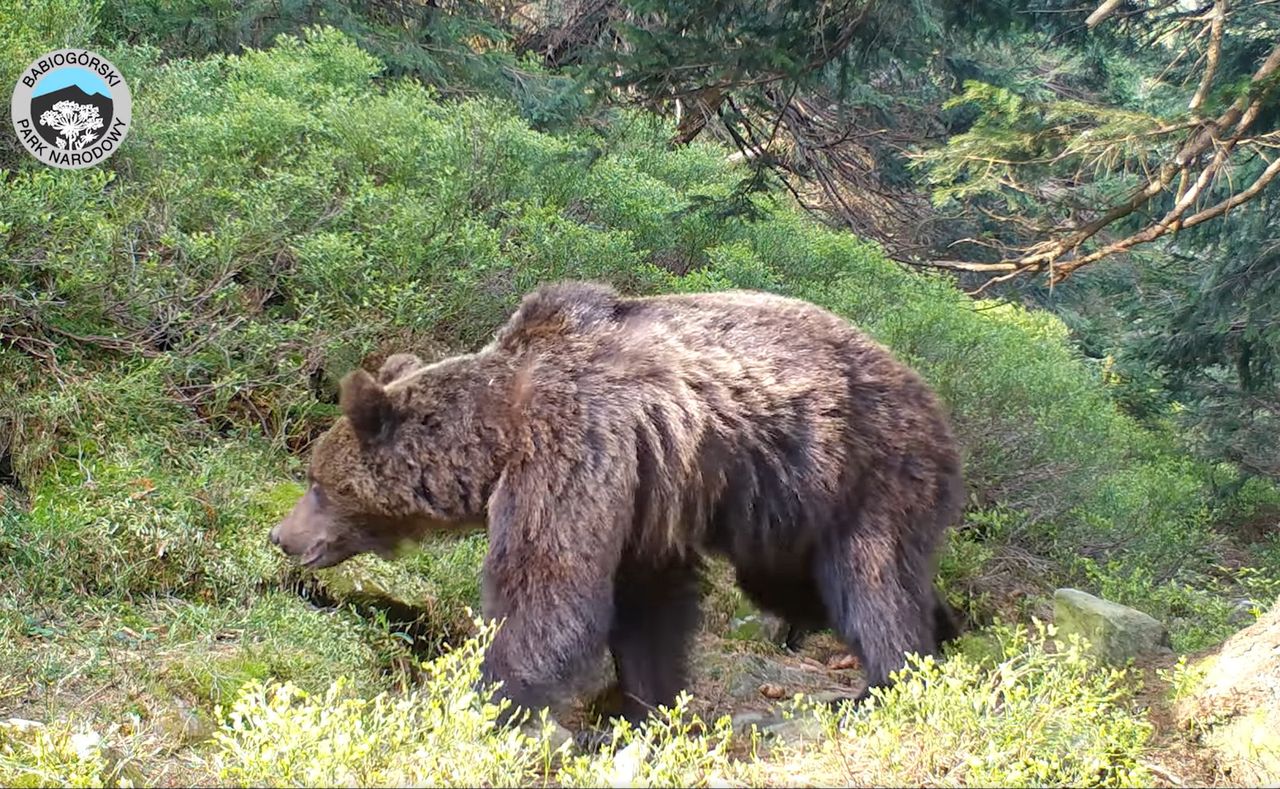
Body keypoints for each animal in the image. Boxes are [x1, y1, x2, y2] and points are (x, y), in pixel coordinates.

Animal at [267, 280, 962, 722]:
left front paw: (481, 702)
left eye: (318, 482)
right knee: (805, 587)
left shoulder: (573, 449)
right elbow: (644, 604)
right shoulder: (640, 496)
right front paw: (648, 704)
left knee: (872, 584)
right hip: (785, 516)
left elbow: (549, 592)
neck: (499, 433)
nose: (282, 535)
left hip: (866, 474)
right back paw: (938, 631)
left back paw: (886, 683)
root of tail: (933, 397)